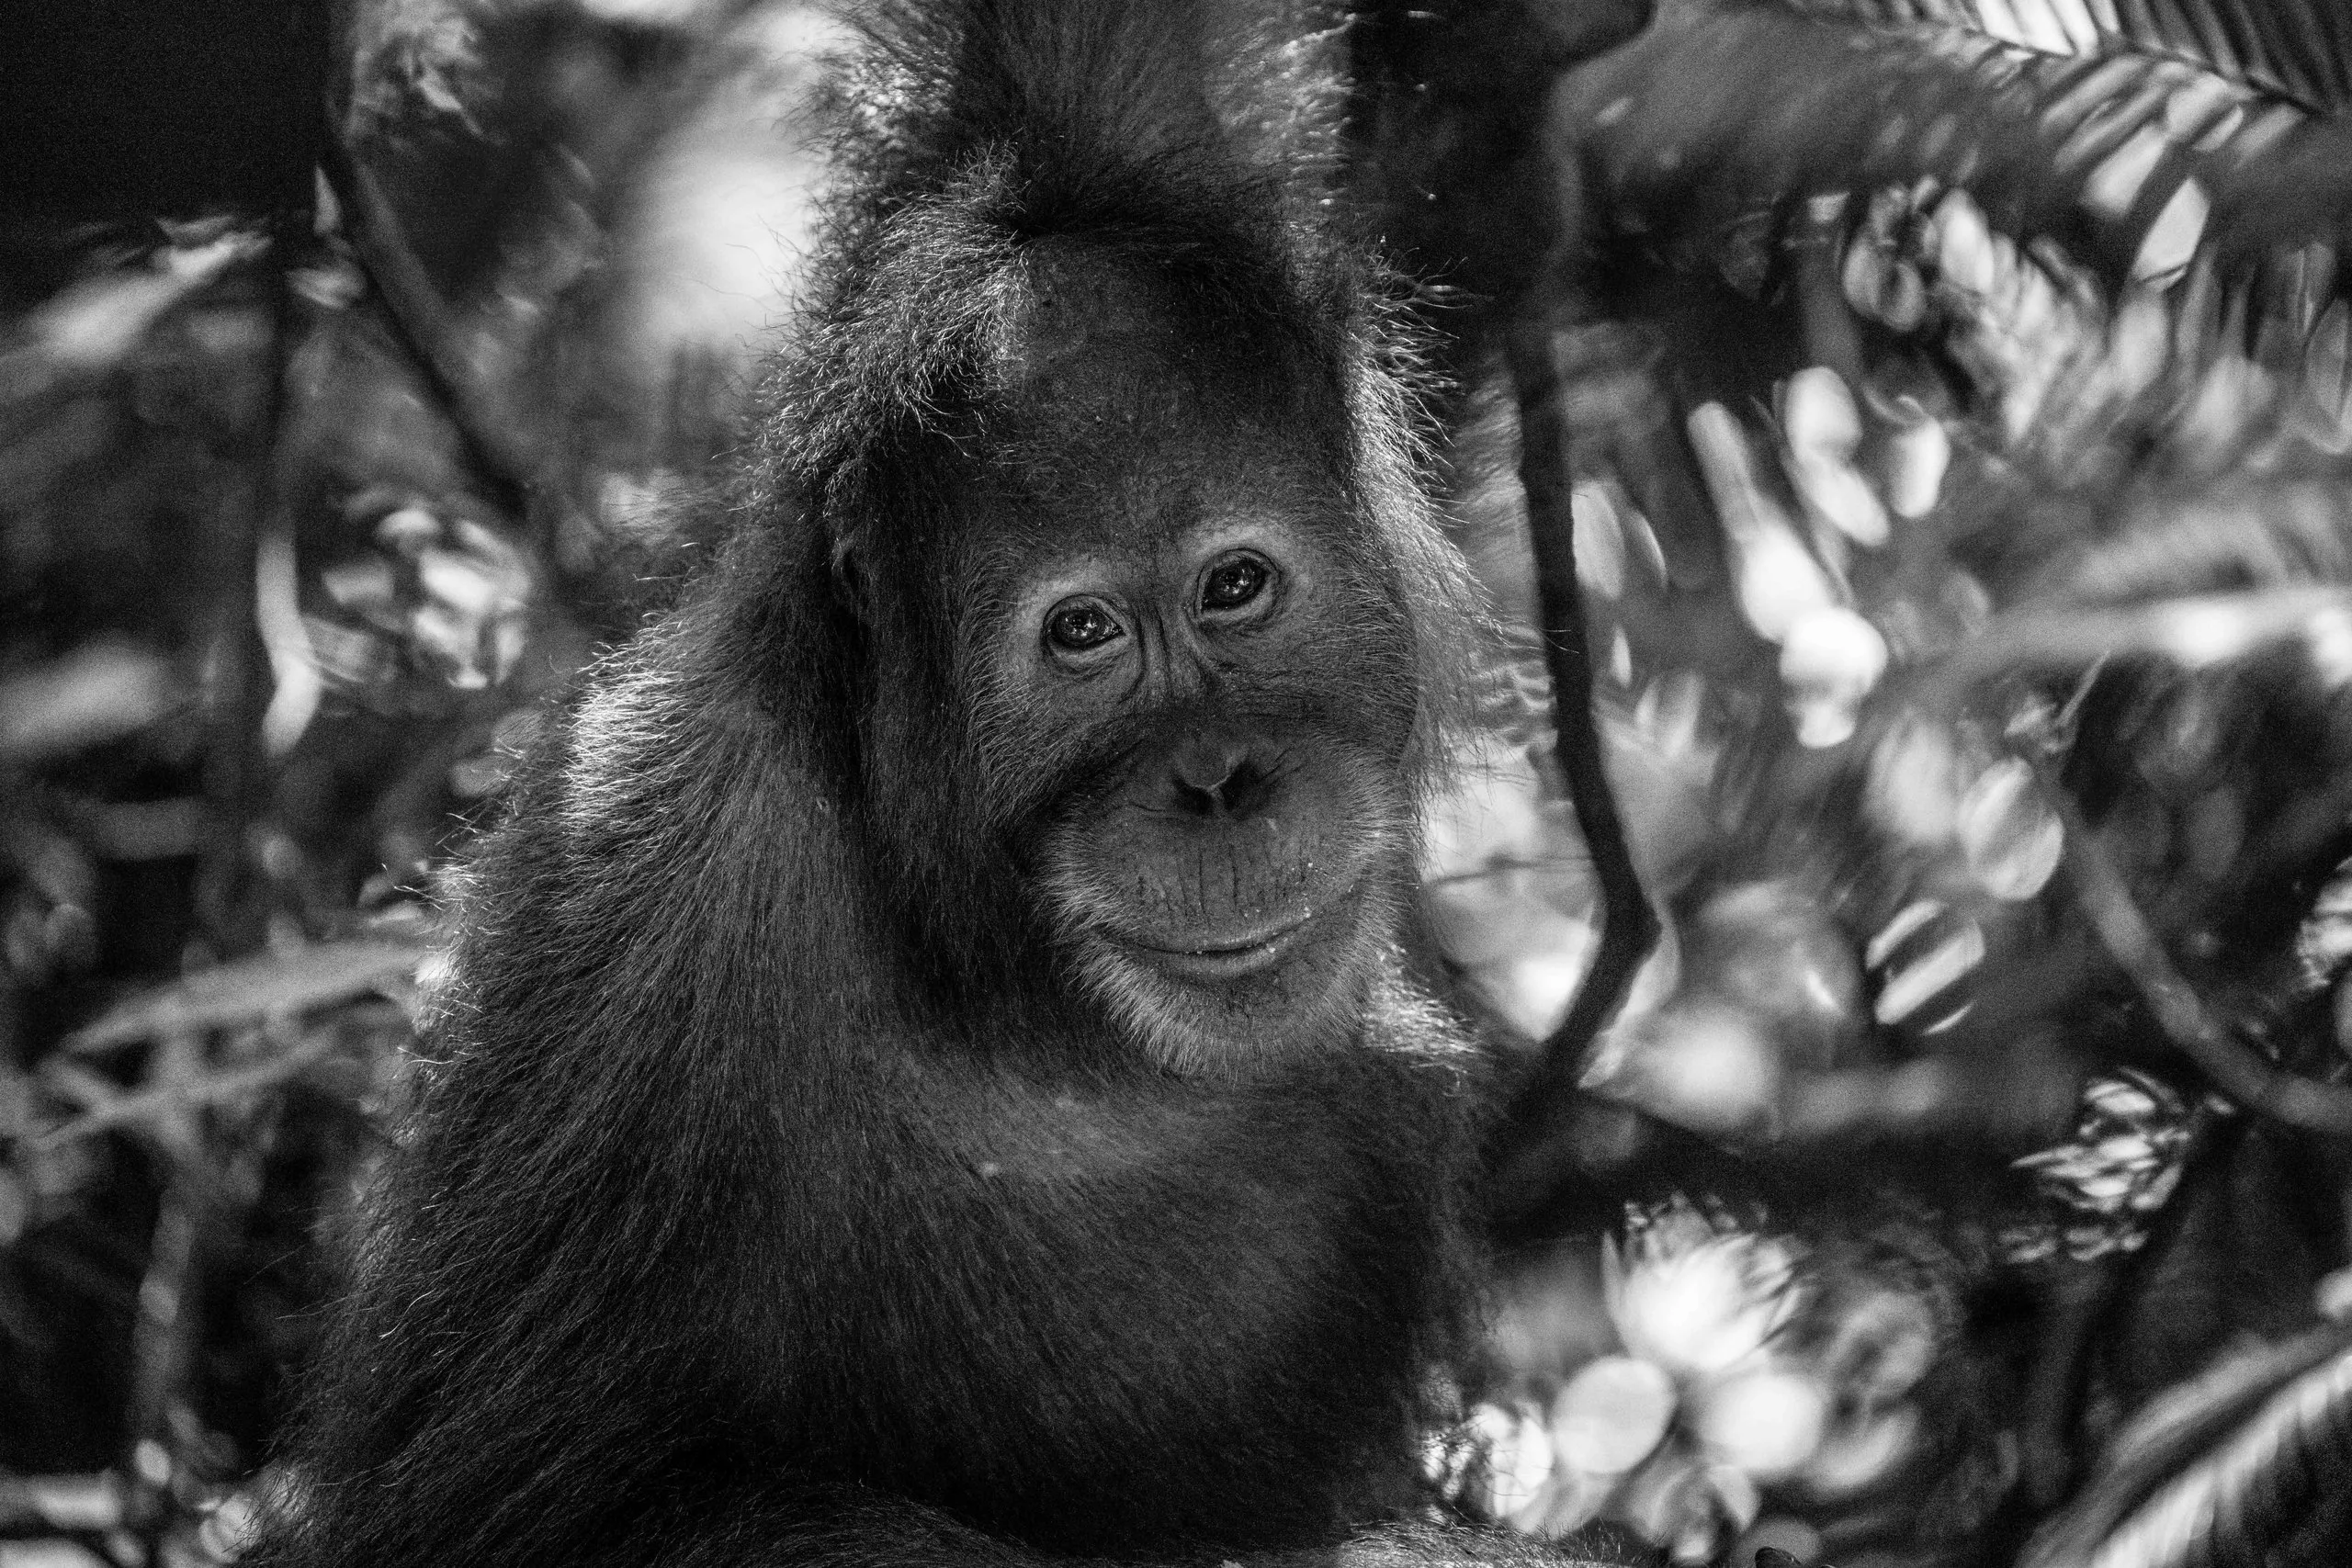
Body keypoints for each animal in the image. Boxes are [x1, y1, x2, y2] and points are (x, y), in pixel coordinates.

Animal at [248, 2, 1636, 1564]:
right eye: (1082, 634)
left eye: (1235, 588)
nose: (1218, 779)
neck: (1018, 998)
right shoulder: (655, 872)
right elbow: (514, 1499)